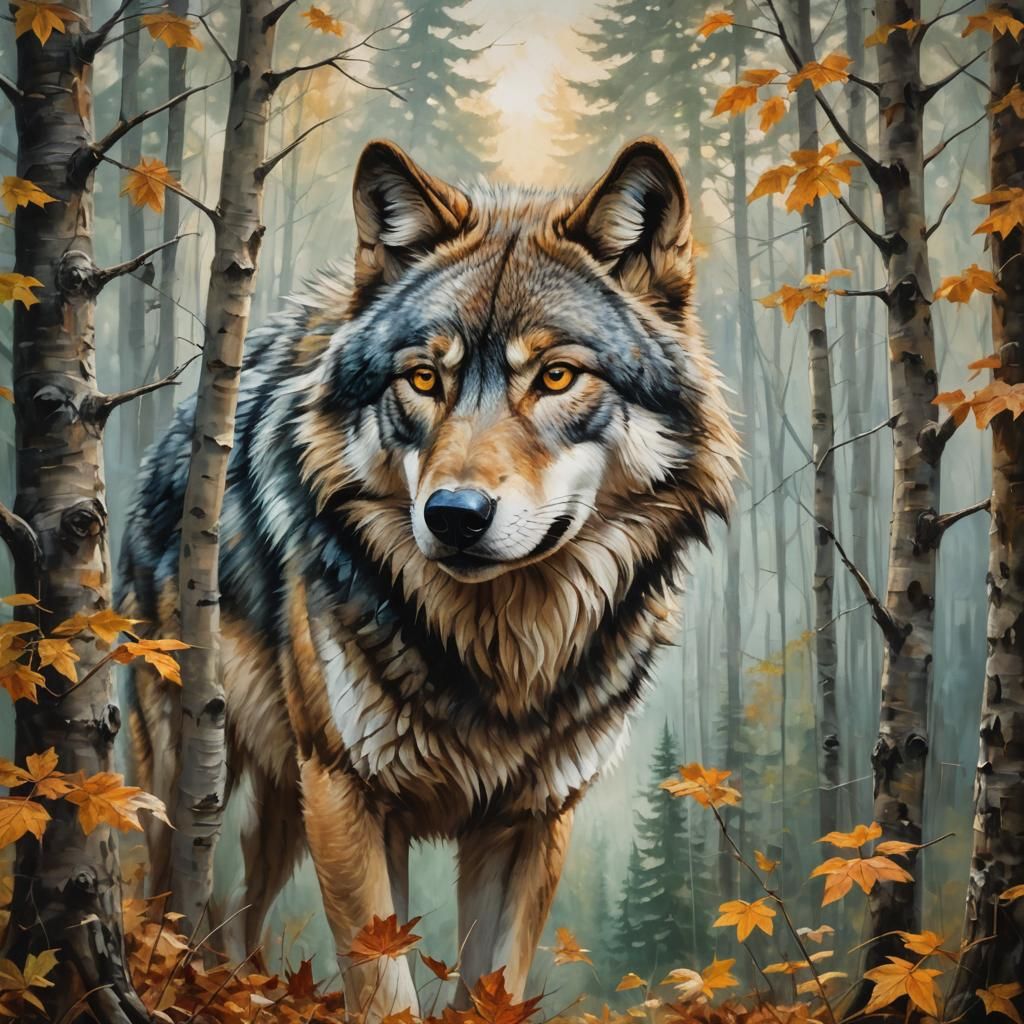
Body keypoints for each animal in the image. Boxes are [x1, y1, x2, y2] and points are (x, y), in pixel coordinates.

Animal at [122, 135, 739, 1018]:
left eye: (556, 377)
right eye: (423, 379)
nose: (453, 514)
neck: (499, 652)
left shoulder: (531, 817)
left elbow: (492, 984)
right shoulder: (349, 792)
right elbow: (385, 988)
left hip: (282, 797)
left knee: (240, 907)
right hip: (187, 777)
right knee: (162, 900)